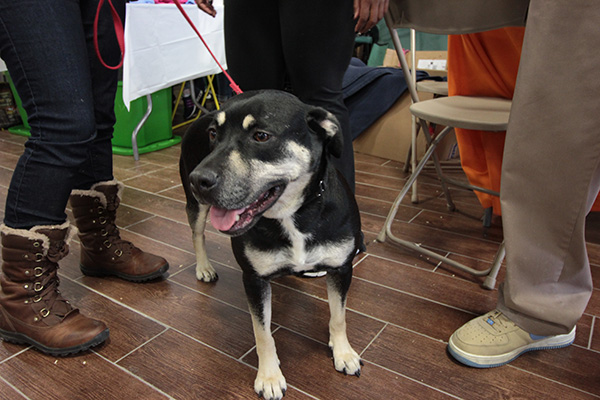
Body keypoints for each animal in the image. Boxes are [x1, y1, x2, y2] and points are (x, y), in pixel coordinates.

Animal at [179, 90, 360, 400]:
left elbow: (339, 316)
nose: (198, 180)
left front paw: (343, 353)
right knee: (197, 234)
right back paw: (204, 267)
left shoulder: (341, 269)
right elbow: (262, 333)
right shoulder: (254, 279)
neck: (292, 214)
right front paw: (269, 376)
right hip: (197, 206)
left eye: (261, 136)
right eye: (214, 134)